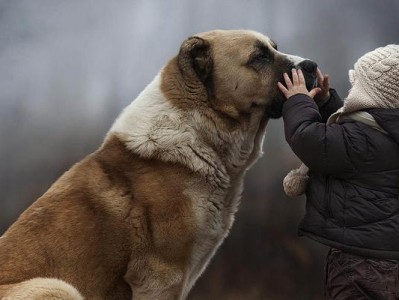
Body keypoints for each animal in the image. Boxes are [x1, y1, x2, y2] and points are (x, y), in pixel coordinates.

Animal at [0, 29, 318, 298]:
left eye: (274, 48)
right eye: (259, 56)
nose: (313, 66)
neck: (197, 129)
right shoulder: (161, 277)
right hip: (56, 287)